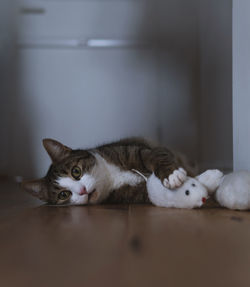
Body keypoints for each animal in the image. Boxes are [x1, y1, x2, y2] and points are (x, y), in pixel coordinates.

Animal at [22, 138, 197, 206]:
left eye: (76, 171)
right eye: (63, 195)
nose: (82, 190)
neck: (111, 177)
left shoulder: (136, 151)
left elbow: (156, 155)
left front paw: (171, 175)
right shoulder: (125, 194)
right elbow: (149, 193)